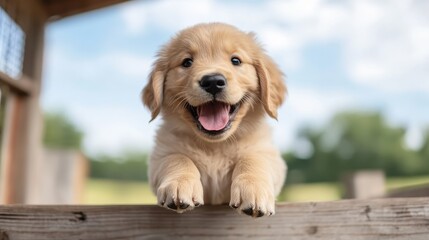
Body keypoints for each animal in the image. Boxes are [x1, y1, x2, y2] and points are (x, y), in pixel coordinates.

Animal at [142, 23, 286, 218]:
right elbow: (177, 158)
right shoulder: (159, 157)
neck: (215, 146)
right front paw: (179, 183)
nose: (212, 82)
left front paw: (254, 190)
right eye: (187, 62)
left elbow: (254, 158)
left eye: (236, 60)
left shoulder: (270, 155)